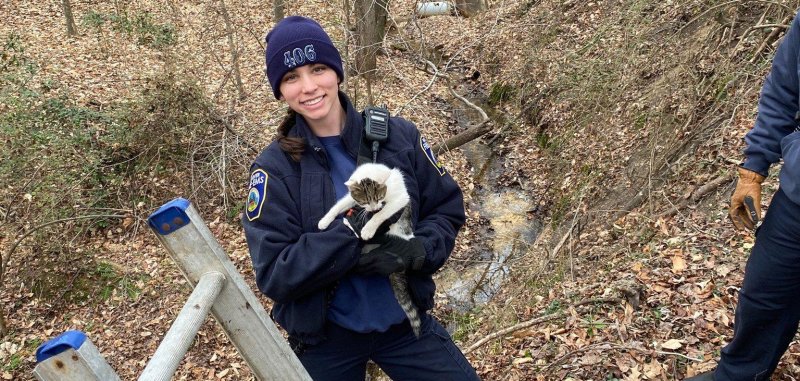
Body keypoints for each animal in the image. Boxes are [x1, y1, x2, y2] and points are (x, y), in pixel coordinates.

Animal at [318, 163, 422, 336]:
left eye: (378, 198)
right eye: (364, 201)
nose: (372, 208)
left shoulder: (400, 199)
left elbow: (381, 214)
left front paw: (367, 228)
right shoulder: (351, 197)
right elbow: (340, 204)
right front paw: (325, 220)